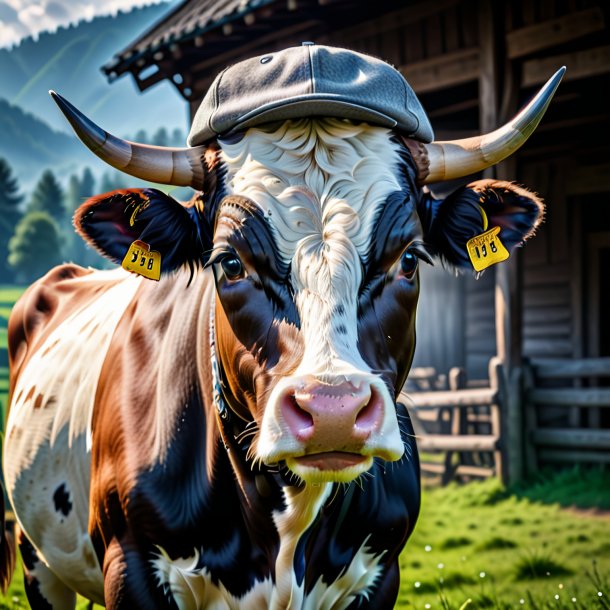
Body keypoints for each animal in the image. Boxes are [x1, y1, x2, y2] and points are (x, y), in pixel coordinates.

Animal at [0, 44, 560, 608]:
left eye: (408, 259)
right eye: (229, 263)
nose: (333, 410)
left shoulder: (382, 572)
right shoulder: (130, 568)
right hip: (37, 559)